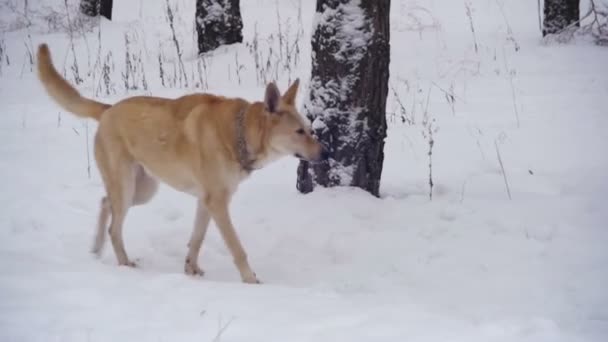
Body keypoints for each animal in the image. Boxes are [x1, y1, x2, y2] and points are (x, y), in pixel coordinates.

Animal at [35, 42, 328, 284]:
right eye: (299, 132)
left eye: (309, 129)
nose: (324, 153)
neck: (240, 133)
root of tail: (108, 109)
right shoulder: (217, 202)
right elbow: (237, 248)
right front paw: (251, 281)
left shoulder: (206, 201)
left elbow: (196, 240)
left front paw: (191, 270)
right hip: (128, 187)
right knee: (114, 228)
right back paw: (124, 265)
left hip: (142, 191)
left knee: (105, 203)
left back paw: (96, 248)